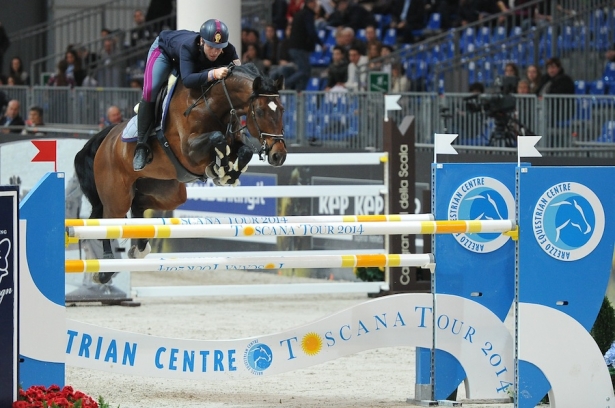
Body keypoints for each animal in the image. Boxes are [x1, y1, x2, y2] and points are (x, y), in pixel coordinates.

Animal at [76, 63, 288, 284]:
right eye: (260, 111)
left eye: (282, 110)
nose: (278, 155)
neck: (212, 105)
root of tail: (106, 138)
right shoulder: (189, 151)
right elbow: (217, 137)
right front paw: (218, 168)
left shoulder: (235, 140)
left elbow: (244, 150)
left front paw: (227, 173)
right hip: (117, 197)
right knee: (107, 221)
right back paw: (105, 270)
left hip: (168, 191)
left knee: (138, 204)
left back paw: (139, 247)